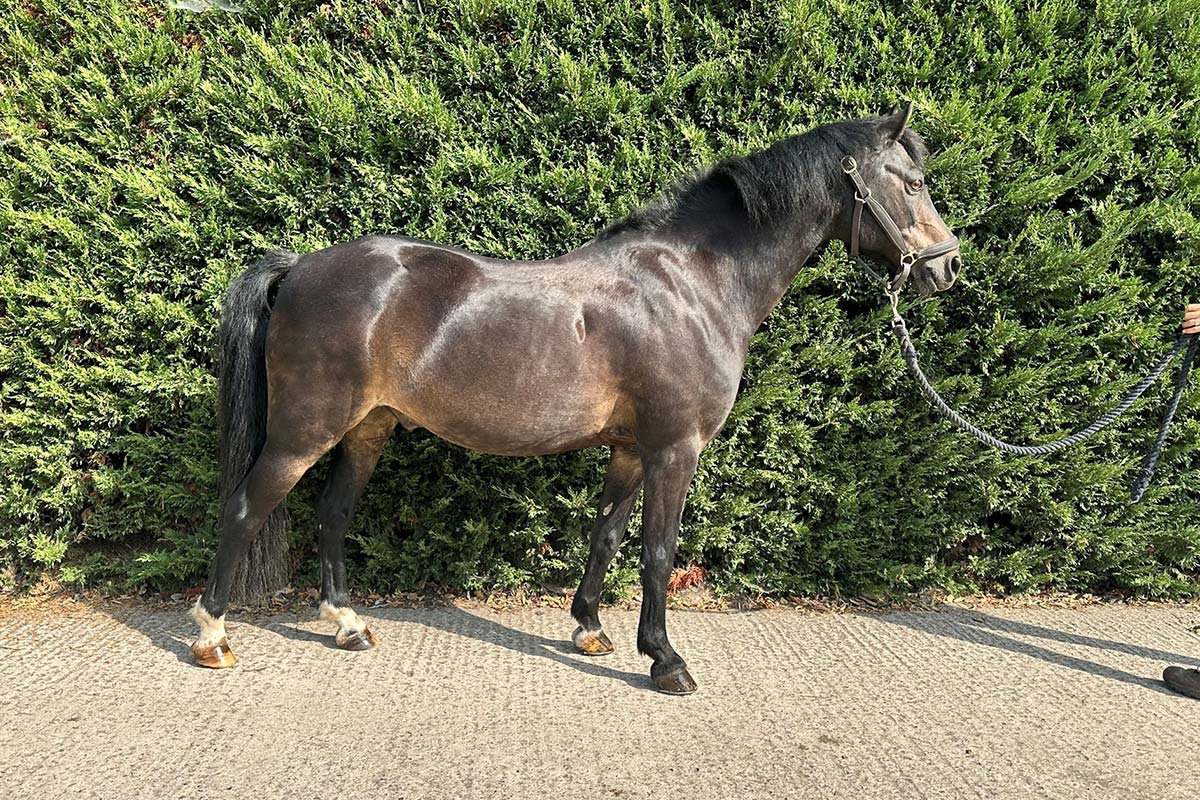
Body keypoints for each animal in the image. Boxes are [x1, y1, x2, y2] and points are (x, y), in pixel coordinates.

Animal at [190, 104, 962, 694]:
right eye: (914, 182)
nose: (948, 266)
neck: (691, 284)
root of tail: (299, 267)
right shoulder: (675, 448)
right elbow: (658, 551)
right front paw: (667, 661)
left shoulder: (630, 448)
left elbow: (607, 536)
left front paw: (590, 628)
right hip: (303, 432)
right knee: (245, 509)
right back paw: (213, 637)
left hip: (368, 428)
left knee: (333, 513)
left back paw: (349, 625)